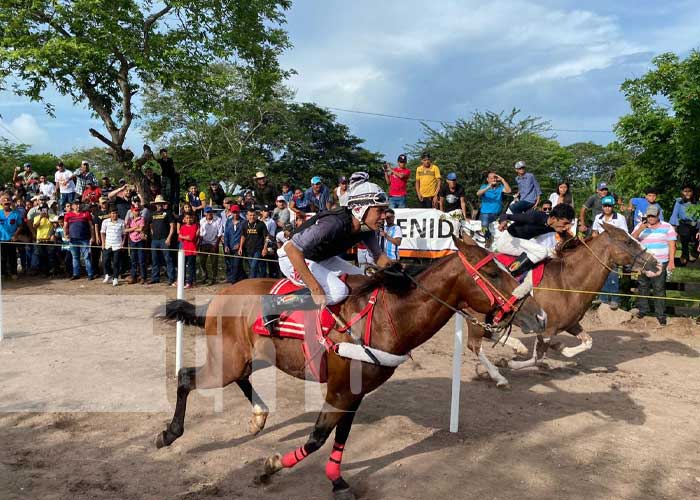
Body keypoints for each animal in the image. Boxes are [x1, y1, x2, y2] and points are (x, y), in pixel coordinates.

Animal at [156, 235, 548, 500]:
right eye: (494, 273)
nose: (539, 315)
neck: (389, 317)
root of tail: (220, 297)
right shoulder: (339, 389)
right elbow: (316, 438)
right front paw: (270, 469)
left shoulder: (353, 392)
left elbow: (339, 437)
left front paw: (337, 479)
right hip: (227, 360)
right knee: (186, 377)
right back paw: (170, 433)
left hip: (246, 358)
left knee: (240, 378)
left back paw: (258, 415)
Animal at [468, 223, 660, 386]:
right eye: (628, 241)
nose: (656, 264)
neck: (567, 282)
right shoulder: (547, 329)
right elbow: (539, 357)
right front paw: (511, 363)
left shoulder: (570, 324)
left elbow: (587, 342)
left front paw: (559, 348)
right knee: (474, 344)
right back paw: (499, 374)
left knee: (486, 335)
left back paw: (515, 348)